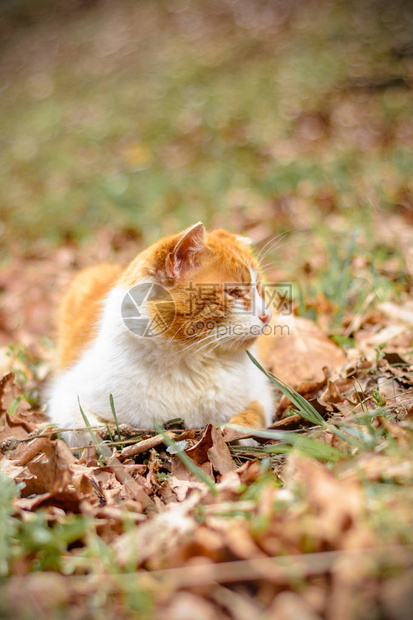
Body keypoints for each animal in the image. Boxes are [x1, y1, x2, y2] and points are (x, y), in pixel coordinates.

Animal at [47, 223, 274, 446]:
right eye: (234, 292)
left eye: (260, 289)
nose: (267, 315)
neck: (190, 366)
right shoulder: (66, 394)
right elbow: (79, 429)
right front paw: (101, 432)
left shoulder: (262, 393)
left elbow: (257, 413)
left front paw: (238, 427)